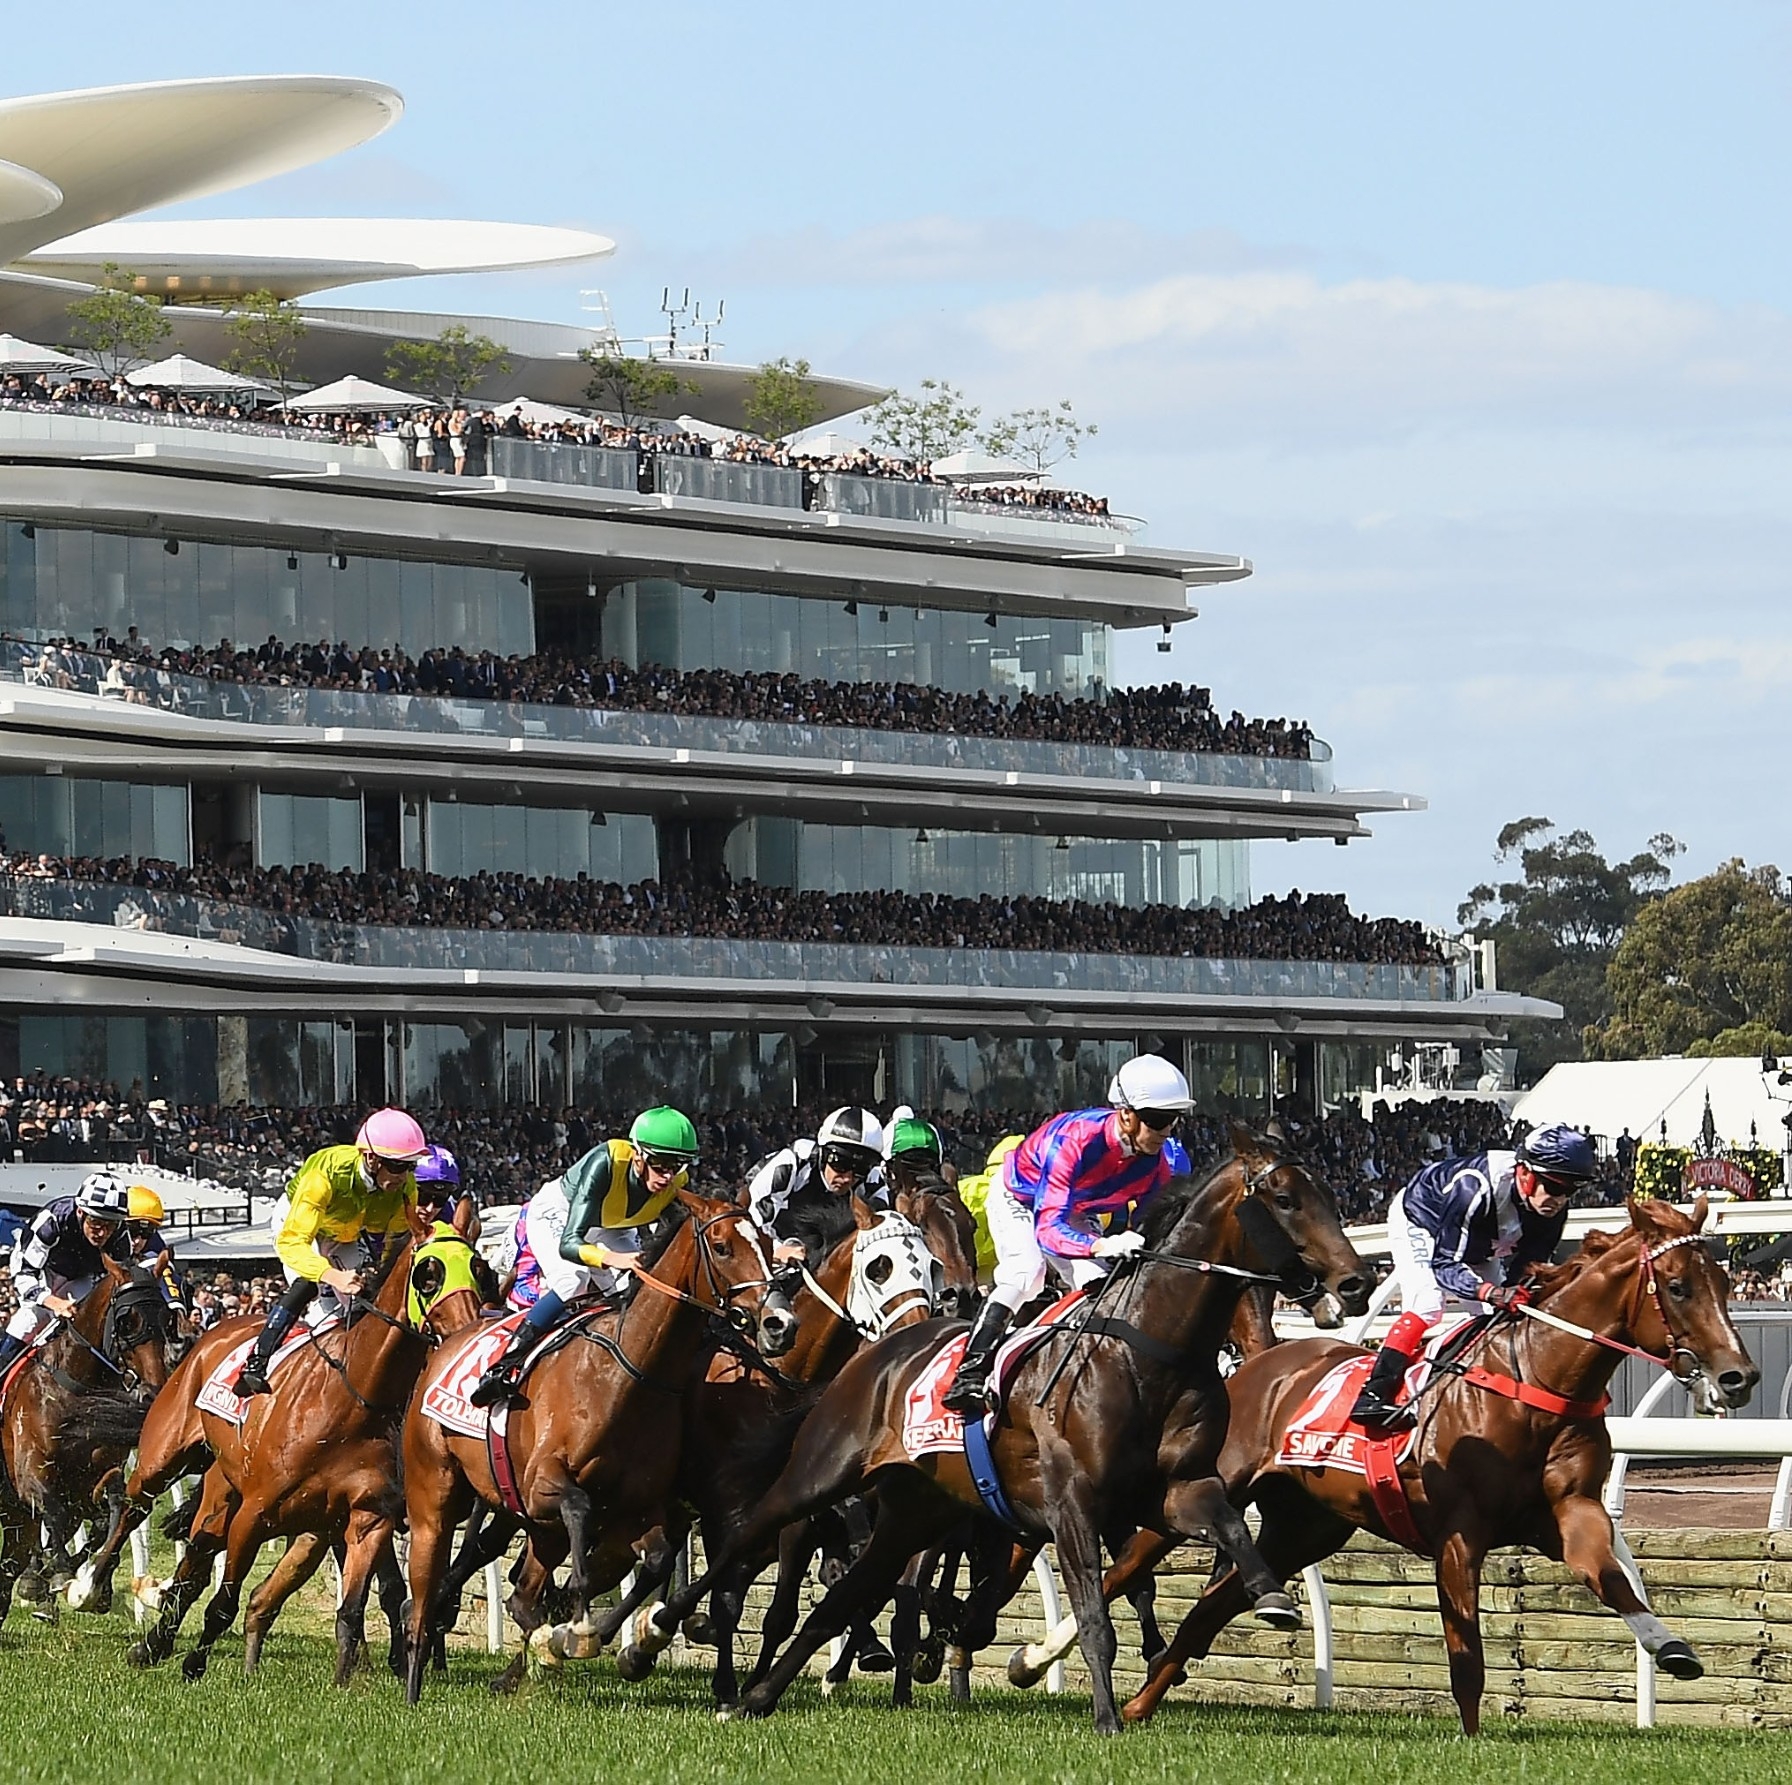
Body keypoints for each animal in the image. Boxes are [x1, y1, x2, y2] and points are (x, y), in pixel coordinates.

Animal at [0, 1254, 171, 1634]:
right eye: (127, 1320)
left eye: (166, 1318)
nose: (153, 1393)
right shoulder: (31, 1476)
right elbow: (55, 1513)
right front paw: (59, 1576)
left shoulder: (96, 1479)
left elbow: (107, 1519)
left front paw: (90, 1587)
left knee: (10, 1562)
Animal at [406, 1182, 799, 1698]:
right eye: (722, 1247)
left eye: (769, 1246)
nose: (780, 1324)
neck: (630, 1373)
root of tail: (448, 1340)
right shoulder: (543, 1485)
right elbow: (580, 1513)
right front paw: (581, 1629)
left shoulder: (645, 1508)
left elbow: (659, 1563)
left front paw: (628, 1639)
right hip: (450, 1482)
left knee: (522, 1586)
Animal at [634, 1132, 1369, 1727]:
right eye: (1284, 1198)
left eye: (1326, 1195)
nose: (1355, 1282)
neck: (1146, 1349)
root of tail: (877, 1355)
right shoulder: (1070, 1503)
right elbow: (1093, 1615)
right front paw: (1106, 1719)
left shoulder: (1177, 1489)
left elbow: (1226, 1530)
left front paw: (1271, 1596)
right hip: (819, 1476)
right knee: (749, 1542)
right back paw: (657, 1634)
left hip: (916, 1510)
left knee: (843, 1596)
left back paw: (762, 1695)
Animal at [1125, 1190, 1756, 1734]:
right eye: (1677, 1287)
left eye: (1724, 1282)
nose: (1739, 1376)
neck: (1535, 1379)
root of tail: (1258, 1364)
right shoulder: (1458, 1534)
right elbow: (1466, 1657)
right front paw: (1472, 1743)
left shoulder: (1570, 1511)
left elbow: (1611, 1578)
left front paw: (1671, 1647)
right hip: (1204, 1491)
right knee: (1131, 1563)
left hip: (1302, 1528)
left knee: (1211, 1609)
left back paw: (1139, 1704)